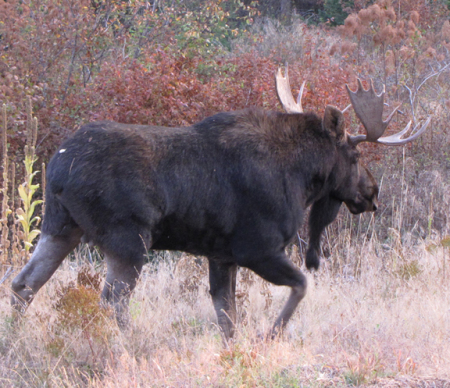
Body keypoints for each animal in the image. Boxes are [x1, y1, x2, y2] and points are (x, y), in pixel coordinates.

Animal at [10, 69, 428, 340]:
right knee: (112, 300)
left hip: (60, 227)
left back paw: (13, 341)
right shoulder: (257, 248)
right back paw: (134, 345)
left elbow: (227, 318)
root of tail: (58, 168)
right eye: (355, 158)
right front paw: (270, 335)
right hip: (127, 239)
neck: (301, 180)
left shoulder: (221, 255)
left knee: (23, 284)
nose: (372, 194)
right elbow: (301, 285)